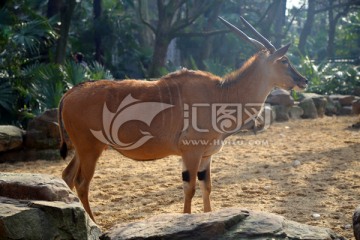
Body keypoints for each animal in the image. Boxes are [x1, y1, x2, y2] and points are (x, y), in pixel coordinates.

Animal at [58, 16, 306, 221]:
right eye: (284, 61)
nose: (303, 80)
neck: (221, 94)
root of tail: (70, 93)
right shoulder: (191, 152)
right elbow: (191, 188)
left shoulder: (206, 156)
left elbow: (207, 186)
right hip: (90, 150)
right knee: (81, 183)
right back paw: (95, 223)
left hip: (83, 150)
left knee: (67, 176)